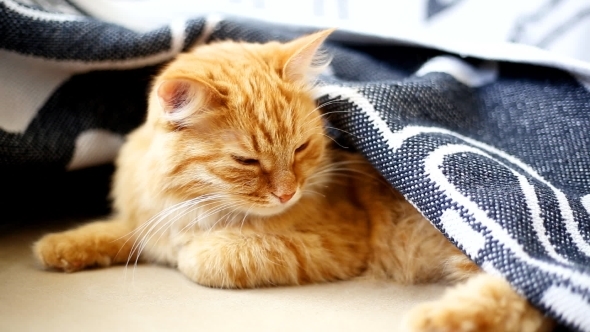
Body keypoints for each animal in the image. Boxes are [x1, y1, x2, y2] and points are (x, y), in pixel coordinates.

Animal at [33, 29, 556, 332]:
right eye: (246, 160)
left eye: (302, 148)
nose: (288, 192)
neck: (192, 202)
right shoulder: (148, 221)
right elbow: (120, 231)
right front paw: (60, 245)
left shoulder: (334, 242)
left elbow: (214, 257)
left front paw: (195, 252)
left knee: (527, 300)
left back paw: (438, 319)